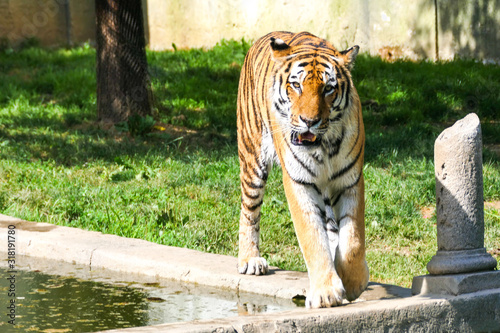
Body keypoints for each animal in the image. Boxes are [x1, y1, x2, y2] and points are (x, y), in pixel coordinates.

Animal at [236, 29, 370, 308]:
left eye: (328, 88)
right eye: (296, 85)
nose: (309, 121)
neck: (325, 146)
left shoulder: (350, 180)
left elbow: (352, 239)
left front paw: (352, 284)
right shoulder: (300, 183)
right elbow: (312, 237)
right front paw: (327, 292)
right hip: (252, 160)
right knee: (249, 210)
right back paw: (250, 259)